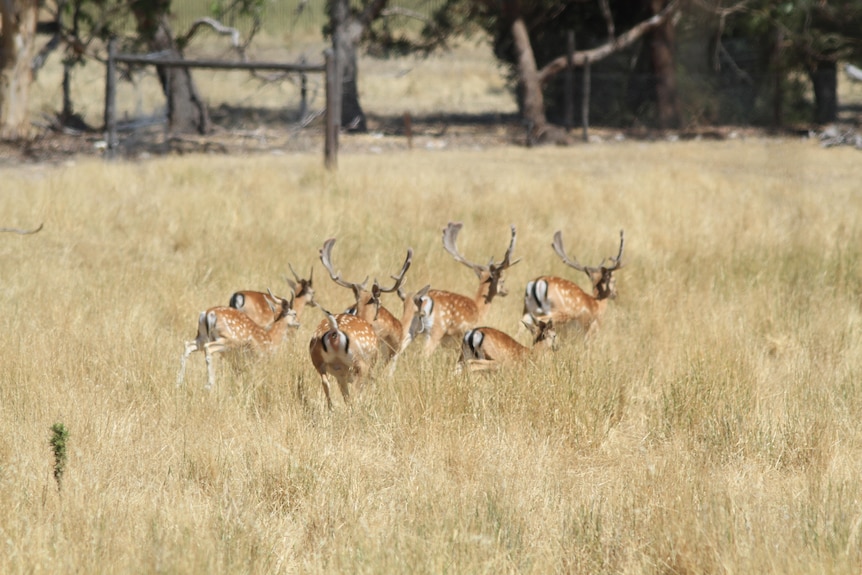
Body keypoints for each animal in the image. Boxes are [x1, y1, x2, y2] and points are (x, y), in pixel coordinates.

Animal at [400, 220, 520, 356]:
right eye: (502, 280)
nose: (506, 291)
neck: (479, 308)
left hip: (412, 326)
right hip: (436, 330)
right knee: (424, 353)